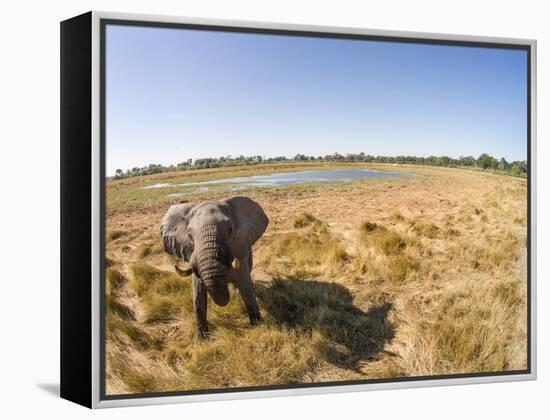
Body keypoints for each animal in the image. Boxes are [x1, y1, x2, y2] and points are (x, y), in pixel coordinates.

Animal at [160, 196, 270, 338]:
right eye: (189, 235)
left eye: (230, 230)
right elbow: (198, 295)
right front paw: (200, 339)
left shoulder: (239, 249)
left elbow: (245, 286)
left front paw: (258, 326)